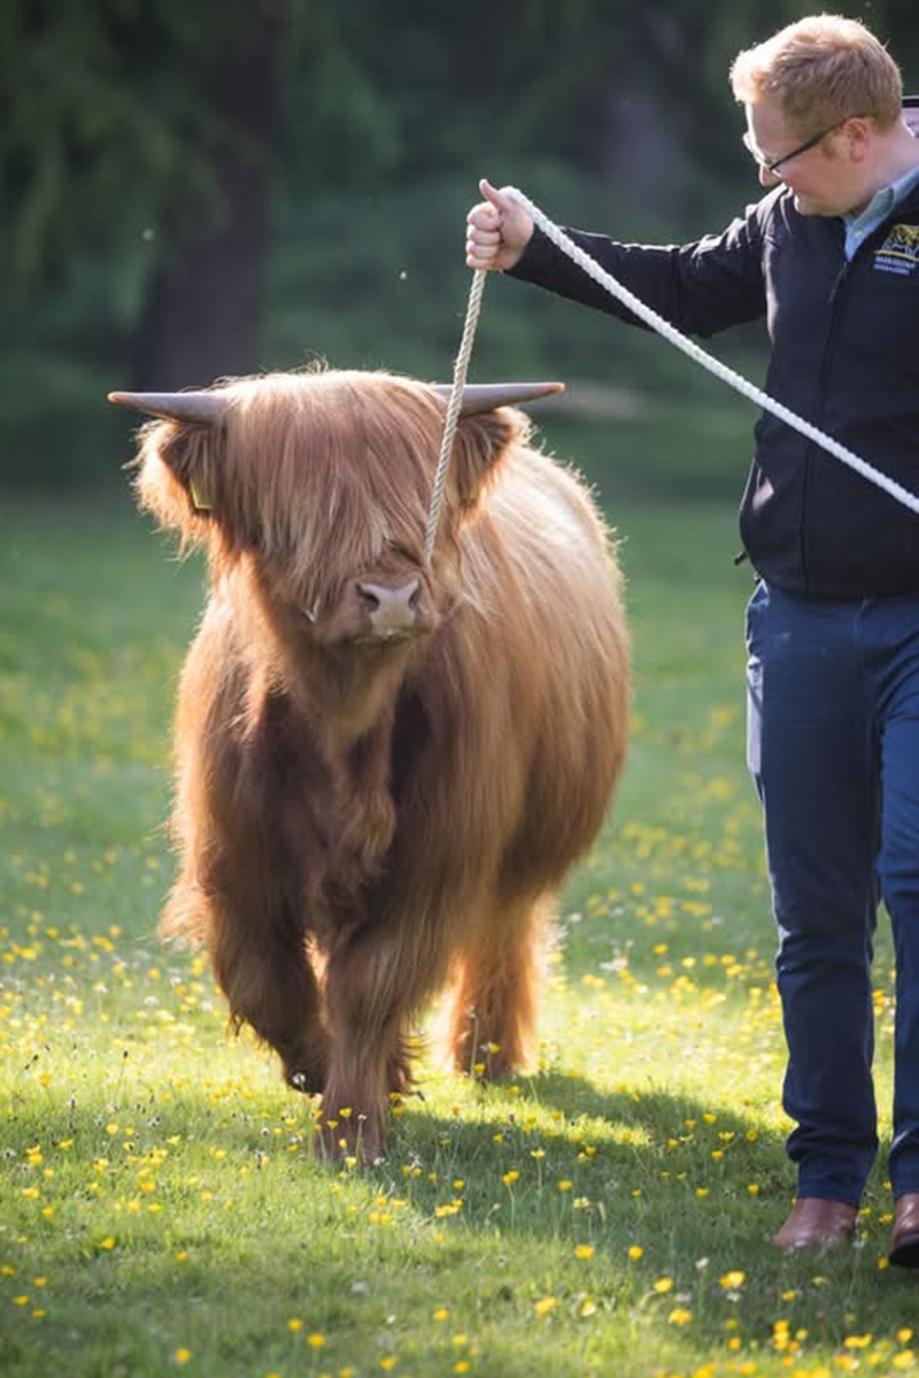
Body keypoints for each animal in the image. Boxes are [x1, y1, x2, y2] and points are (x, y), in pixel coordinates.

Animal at [111, 368, 629, 1162]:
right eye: (298, 515)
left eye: (423, 502)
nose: (390, 597)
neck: (342, 725)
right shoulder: (235, 865)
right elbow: (268, 986)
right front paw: (331, 1071)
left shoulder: (432, 866)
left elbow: (368, 989)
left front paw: (351, 1123)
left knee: (505, 928)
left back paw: (484, 1054)